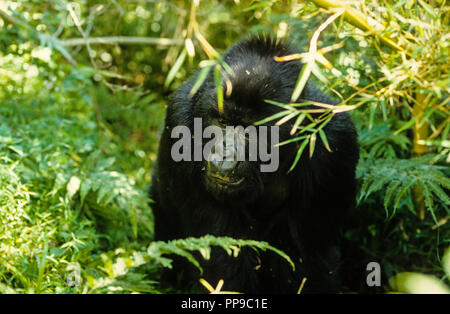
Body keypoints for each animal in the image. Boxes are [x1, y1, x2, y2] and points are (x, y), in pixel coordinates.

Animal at [150, 35, 358, 294]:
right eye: (221, 122)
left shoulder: (335, 144)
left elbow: (313, 258)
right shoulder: (178, 122)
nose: (223, 153)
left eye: (249, 131)